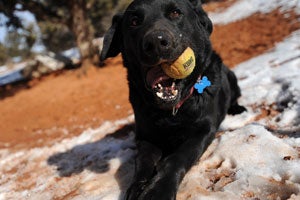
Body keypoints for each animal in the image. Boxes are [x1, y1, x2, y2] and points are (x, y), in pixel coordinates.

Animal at [99, 0, 245, 198]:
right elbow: (143, 162)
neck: (171, 112)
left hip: (231, 76)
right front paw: (138, 187)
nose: (156, 42)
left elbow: (177, 158)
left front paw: (158, 189)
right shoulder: (146, 137)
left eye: (176, 13)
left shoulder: (203, 130)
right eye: (134, 21)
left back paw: (237, 109)